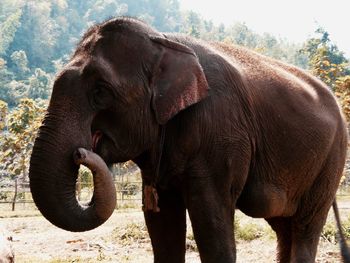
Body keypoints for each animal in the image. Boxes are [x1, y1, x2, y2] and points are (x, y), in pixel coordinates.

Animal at [28, 17, 348, 263]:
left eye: (101, 91)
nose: (81, 153)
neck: (163, 42)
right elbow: (161, 222)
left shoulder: (221, 135)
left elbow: (211, 221)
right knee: (284, 227)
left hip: (331, 161)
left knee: (305, 226)